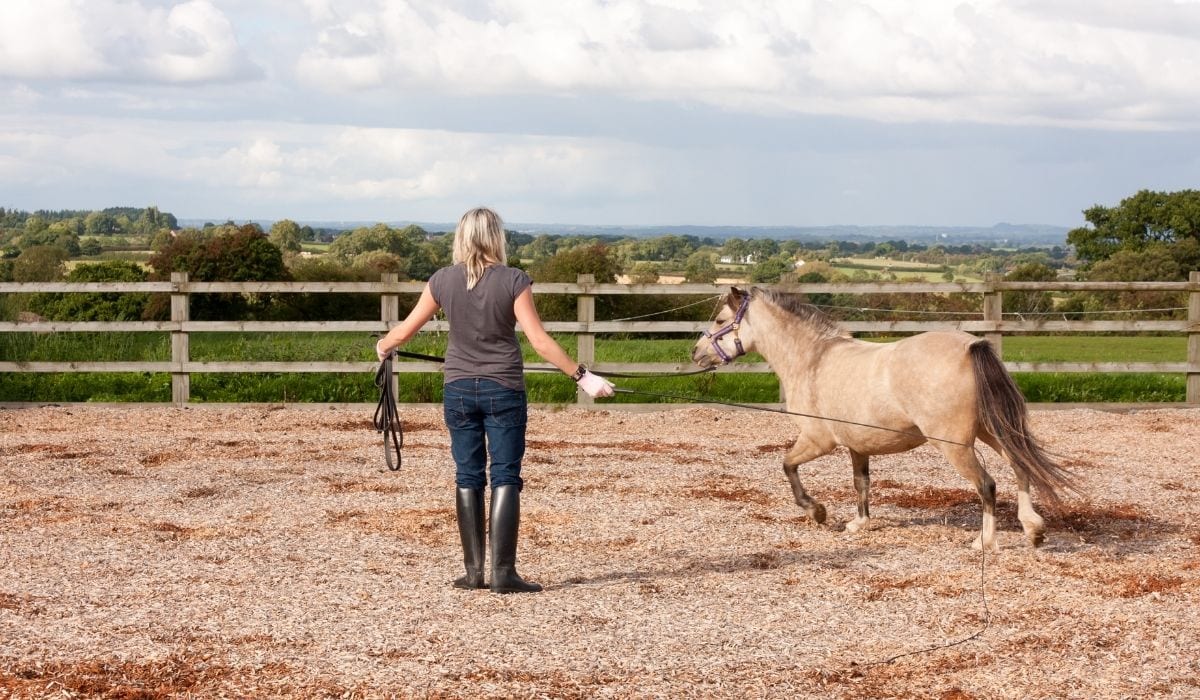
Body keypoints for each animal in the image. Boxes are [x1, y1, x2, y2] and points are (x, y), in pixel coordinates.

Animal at [690, 286, 1078, 551]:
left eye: (720, 321)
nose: (696, 353)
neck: (813, 359)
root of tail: (972, 347)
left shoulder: (817, 440)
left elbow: (788, 466)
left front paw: (817, 512)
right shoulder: (858, 446)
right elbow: (861, 484)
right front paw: (859, 524)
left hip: (956, 445)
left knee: (988, 485)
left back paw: (984, 542)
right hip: (991, 431)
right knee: (1020, 466)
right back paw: (1033, 529)